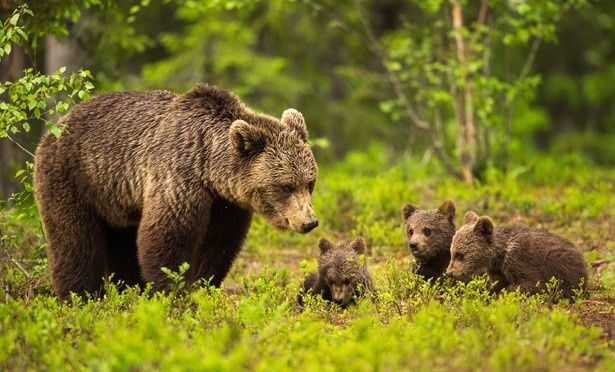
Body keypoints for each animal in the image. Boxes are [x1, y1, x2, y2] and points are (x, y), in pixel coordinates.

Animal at [34, 85, 320, 300]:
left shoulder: (227, 205)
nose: (309, 222)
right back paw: (81, 296)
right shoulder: (179, 177)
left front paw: (201, 286)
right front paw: (172, 292)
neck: (210, 169)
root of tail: (55, 127)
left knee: (123, 244)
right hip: (73, 178)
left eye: (310, 182)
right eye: (285, 186)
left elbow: (218, 245)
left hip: (117, 201)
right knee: (74, 239)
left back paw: (127, 289)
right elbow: (167, 236)